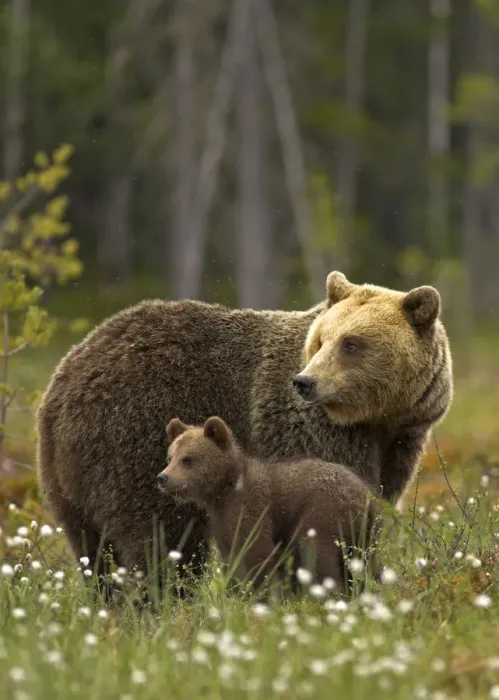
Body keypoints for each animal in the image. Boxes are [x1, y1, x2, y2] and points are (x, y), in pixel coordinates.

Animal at [158, 416, 382, 594]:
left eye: (188, 459)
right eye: (170, 457)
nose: (162, 478)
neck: (222, 491)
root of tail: (366, 496)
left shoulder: (250, 507)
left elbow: (257, 551)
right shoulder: (221, 521)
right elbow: (231, 558)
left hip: (325, 513)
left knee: (318, 554)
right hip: (365, 533)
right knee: (367, 564)